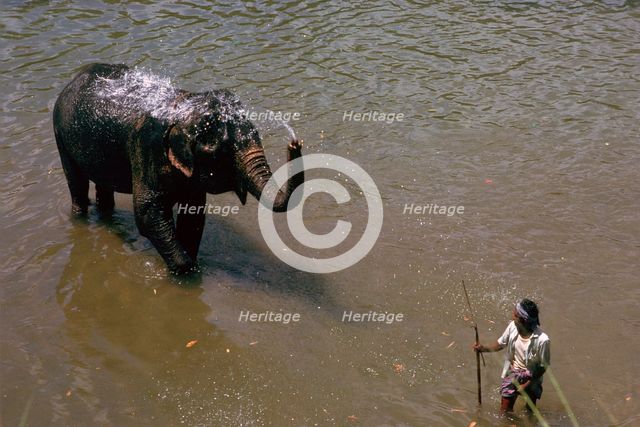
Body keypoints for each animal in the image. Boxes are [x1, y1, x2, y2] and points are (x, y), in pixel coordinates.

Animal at [53, 63, 303, 274]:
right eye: (220, 150)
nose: (294, 143)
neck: (184, 108)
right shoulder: (145, 150)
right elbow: (147, 212)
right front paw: (185, 270)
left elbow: (193, 215)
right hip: (60, 134)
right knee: (76, 183)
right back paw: (80, 217)